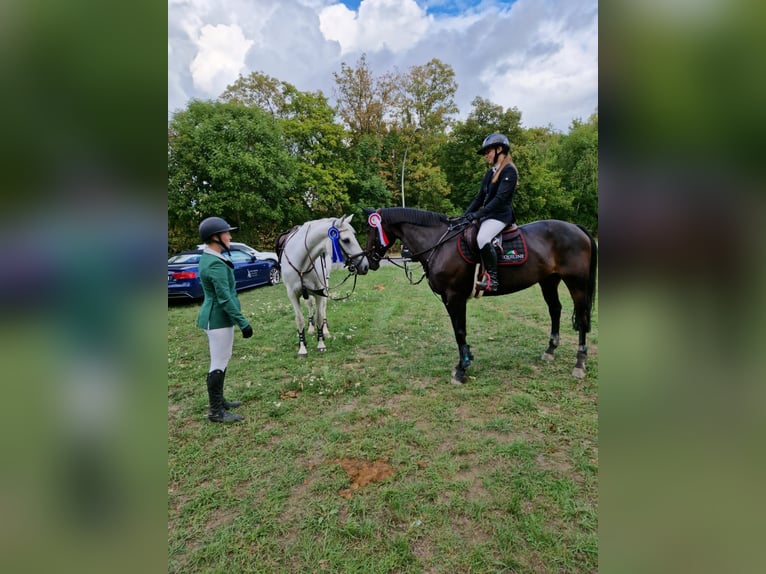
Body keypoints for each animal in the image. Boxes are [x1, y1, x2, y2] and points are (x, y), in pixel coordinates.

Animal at [366, 208, 600, 388]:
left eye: (371, 232)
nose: (368, 262)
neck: (440, 244)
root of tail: (576, 228)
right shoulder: (448, 299)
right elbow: (458, 331)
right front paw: (466, 358)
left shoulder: (456, 297)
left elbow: (460, 331)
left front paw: (462, 369)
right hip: (549, 281)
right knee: (555, 309)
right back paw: (550, 350)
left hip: (576, 283)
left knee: (582, 317)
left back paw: (579, 363)